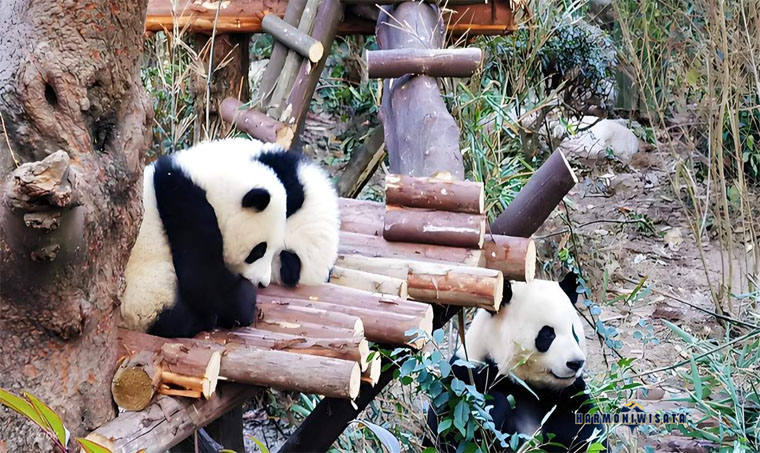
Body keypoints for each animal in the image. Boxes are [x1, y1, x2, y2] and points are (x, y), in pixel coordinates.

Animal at [120, 140, 288, 338]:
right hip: (145, 298)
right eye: (259, 250)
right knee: (174, 320)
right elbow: (203, 279)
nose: (263, 283)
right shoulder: (184, 202)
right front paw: (246, 302)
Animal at [427, 273, 605, 452]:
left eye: (575, 334)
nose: (576, 363)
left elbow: (585, 429)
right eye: (548, 334)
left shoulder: (568, 395)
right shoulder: (465, 377)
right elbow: (452, 429)